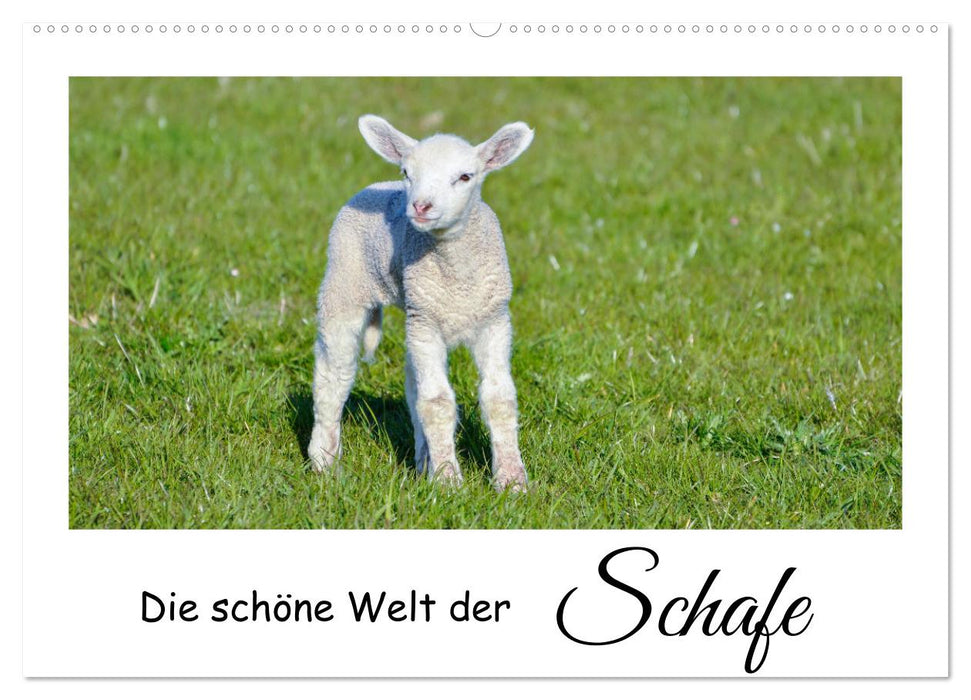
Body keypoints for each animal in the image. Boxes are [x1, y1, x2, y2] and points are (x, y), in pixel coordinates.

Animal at [307, 114, 534, 492]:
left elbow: (499, 399)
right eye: (407, 172)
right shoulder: (427, 324)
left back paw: (421, 461)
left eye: (465, 176)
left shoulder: (494, 321)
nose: (421, 206)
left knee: (412, 385)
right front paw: (448, 482)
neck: (457, 275)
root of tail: (377, 185)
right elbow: (437, 402)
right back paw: (324, 461)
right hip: (345, 280)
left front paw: (512, 481)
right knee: (333, 373)